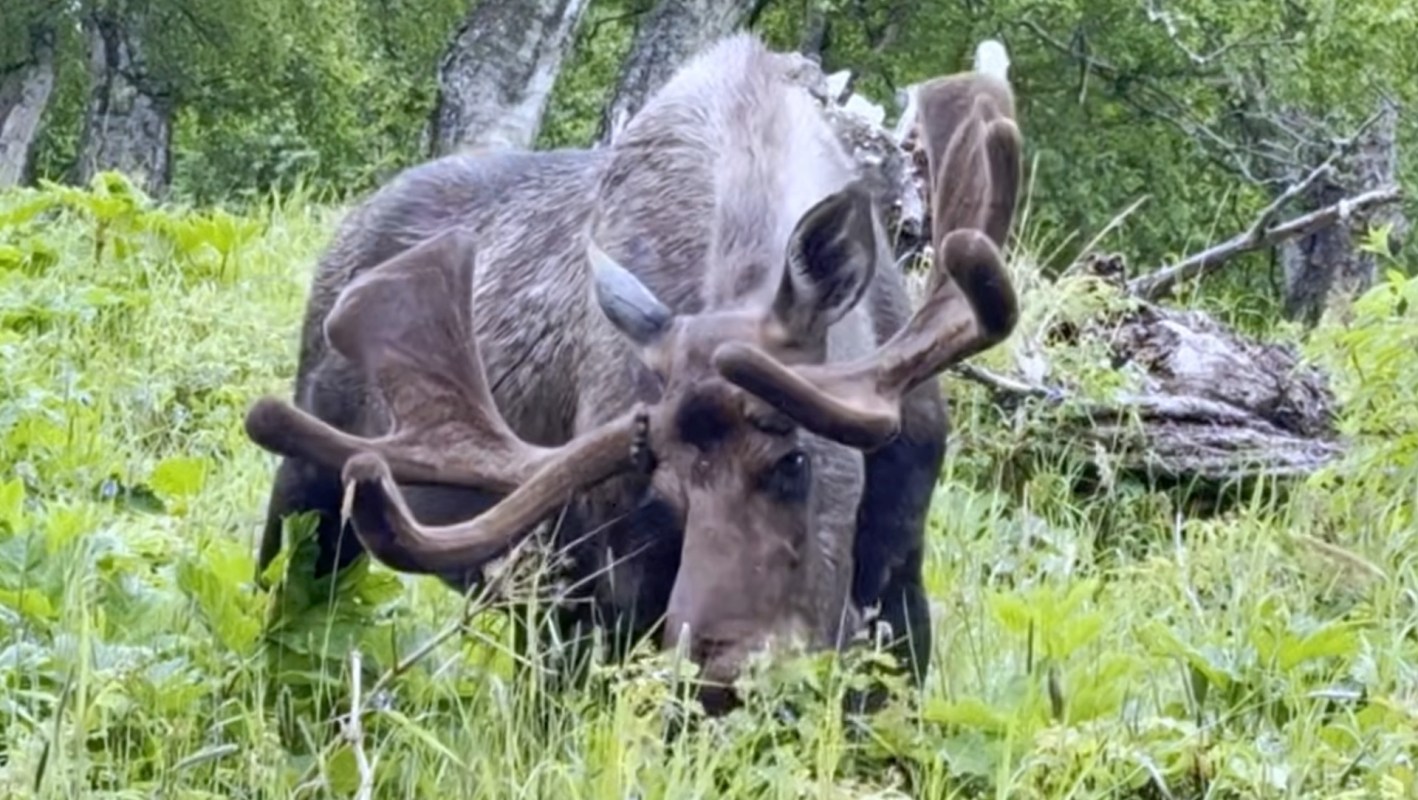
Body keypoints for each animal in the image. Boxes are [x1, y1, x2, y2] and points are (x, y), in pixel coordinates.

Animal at [243, 33, 1023, 714]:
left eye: (792, 458)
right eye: (661, 491)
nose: (724, 670)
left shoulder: (901, 564)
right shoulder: (607, 586)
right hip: (315, 485)